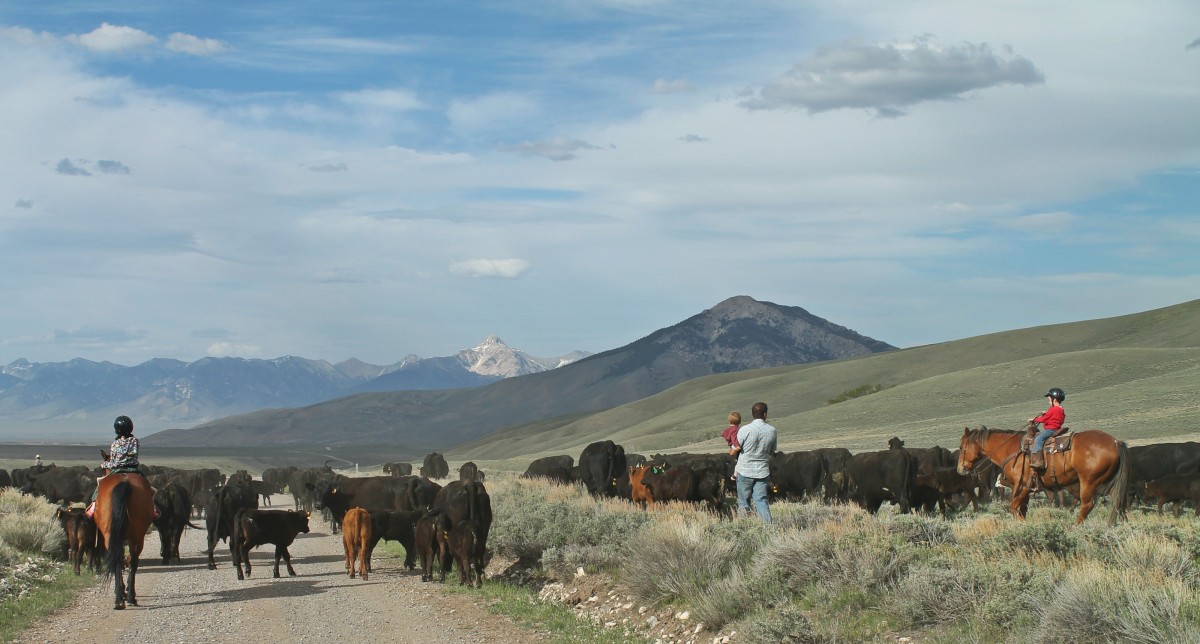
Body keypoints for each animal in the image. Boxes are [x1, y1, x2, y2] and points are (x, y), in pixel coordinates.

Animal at [94, 472, 157, 606]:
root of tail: (124, 482)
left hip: (120, 537)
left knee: (125, 561)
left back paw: (124, 597)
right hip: (135, 537)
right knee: (129, 561)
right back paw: (126, 597)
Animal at [950, 424, 1128, 525]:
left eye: (962, 447)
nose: (960, 469)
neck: (1011, 449)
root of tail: (1115, 442)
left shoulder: (1022, 485)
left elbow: (1014, 508)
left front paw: (1025, 525)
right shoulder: (1026, 489)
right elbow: (1021, 509)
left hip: (1088, 481)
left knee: (1087, 505)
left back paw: (1074, 527)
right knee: (1116, 504)